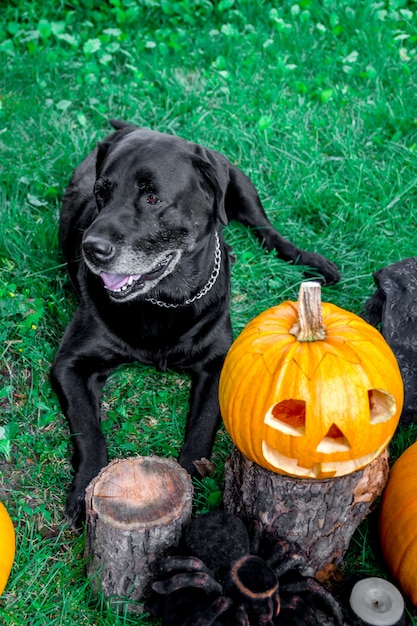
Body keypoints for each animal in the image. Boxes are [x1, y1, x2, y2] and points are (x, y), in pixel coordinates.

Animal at [51, 118, 338, 528]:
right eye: (101, 193)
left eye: (152, 198)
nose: (92, 248)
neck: (164, 300)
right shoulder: (71, 364)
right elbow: (89, 431)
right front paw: (84, 490)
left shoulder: (218, 363)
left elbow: (201, 431)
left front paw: (190, 489)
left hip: (239, 186)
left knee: (266, 230)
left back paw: (309, 260)